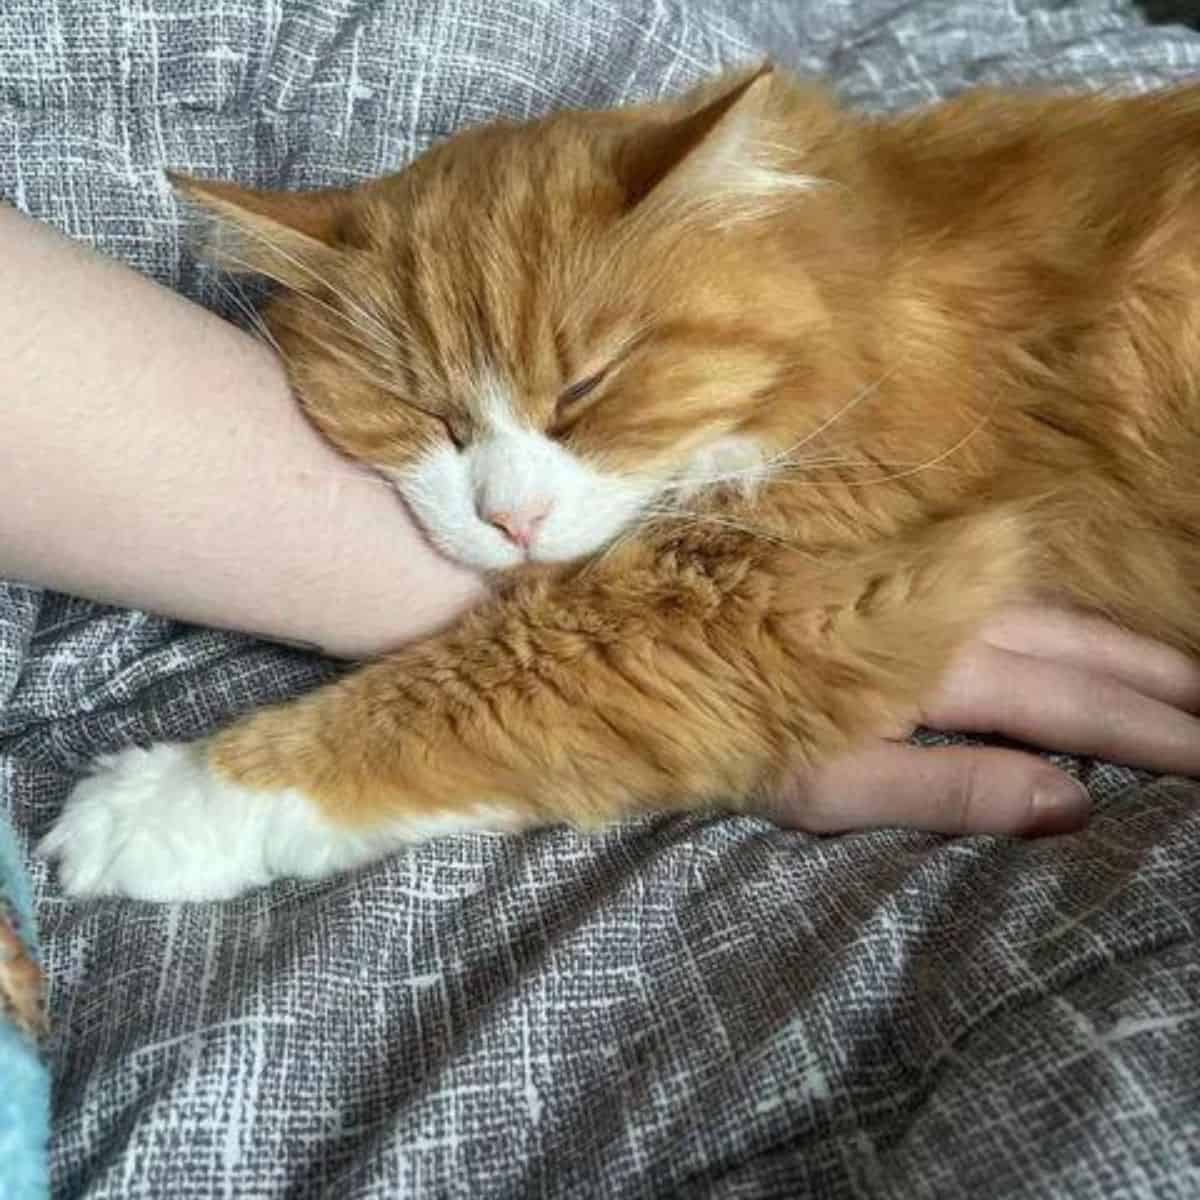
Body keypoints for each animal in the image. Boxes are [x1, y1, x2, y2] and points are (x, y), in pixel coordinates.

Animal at [42, 60, 1200, 897]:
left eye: (584, 392)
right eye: (429, 414)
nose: (512, 520)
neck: (851, 285)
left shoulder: (791, 591)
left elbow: (453, 695)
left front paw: (165, 803)